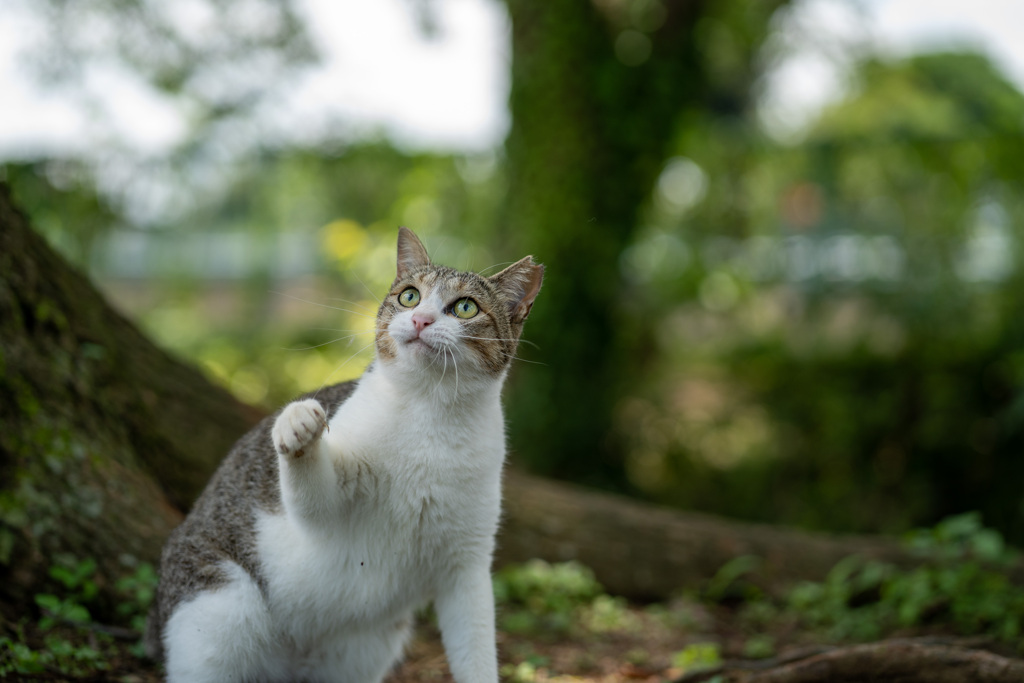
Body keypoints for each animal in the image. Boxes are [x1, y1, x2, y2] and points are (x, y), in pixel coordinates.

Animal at [146, 229, 544, 683]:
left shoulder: (467, 565)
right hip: (219, 609)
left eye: (465, 307)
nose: (421, 320)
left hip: (364, 649)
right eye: (409, 296)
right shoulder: (330, 505)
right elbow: (312, 501)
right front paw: (297, 424)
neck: (430, 410)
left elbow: (475, 651)